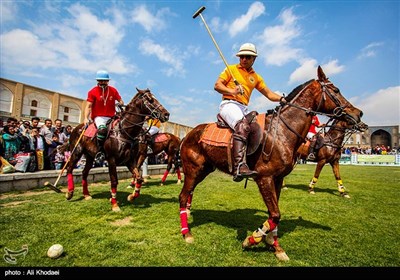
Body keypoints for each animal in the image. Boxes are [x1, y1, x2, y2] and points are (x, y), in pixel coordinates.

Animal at [178, 65, 366, 260]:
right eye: (336, 90)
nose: (358, 113)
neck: (283, 131)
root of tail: (189, 134)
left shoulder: (278, 178)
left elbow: (274, 214)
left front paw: (275, 246)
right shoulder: (265, 177)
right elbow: (275, 214)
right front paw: (252, 239)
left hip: (204, 169)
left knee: (189, 192)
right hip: (193, 169)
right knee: (183, 196)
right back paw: (187, 233)